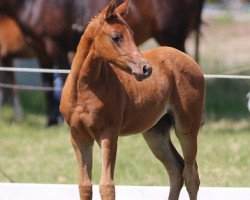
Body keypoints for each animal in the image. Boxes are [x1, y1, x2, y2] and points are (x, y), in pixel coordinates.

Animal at [60, 0, 205, 199]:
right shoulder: (78, 136)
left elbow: (107, 185)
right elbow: (85, 185)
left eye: (132, 34)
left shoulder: (109, 134)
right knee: (176, 170)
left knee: (191, 175)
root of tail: (191, 61)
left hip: (186, 128)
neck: (83, 89)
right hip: (155, 133)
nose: (146, 69)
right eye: (116, 37)